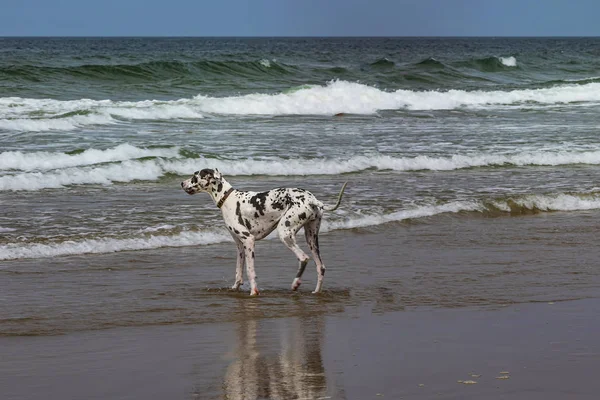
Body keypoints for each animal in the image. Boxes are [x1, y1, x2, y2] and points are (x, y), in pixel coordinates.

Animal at [180, 167, 346, 296]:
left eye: (194, 176)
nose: (182, 183)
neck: (227, 198)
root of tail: (313, 200)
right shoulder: (240, 246)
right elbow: (238, 272)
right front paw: (234, 288)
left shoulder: (248, 240)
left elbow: (250, 271)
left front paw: (254, 292)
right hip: (311, 238)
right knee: (321, 267)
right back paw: (316, 292)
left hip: (284, 233)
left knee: (303, 258)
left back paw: (295, 284)